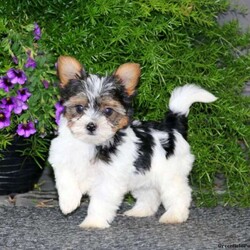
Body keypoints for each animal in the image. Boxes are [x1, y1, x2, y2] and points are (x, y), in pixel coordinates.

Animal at [48, 56, 217, 229]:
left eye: (108, 111)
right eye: (79, 108)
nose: (91, 125)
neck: (90, 144)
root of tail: (172, 126)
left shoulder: (109, 179)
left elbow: (100, 201)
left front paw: (93, 222)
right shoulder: (61, 160)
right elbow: (65, 180)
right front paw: (68, 203)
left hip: (170, 173)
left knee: (179, 194)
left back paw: (174, 215)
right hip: (143, 174)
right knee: (150, 194)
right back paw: (141, 211)